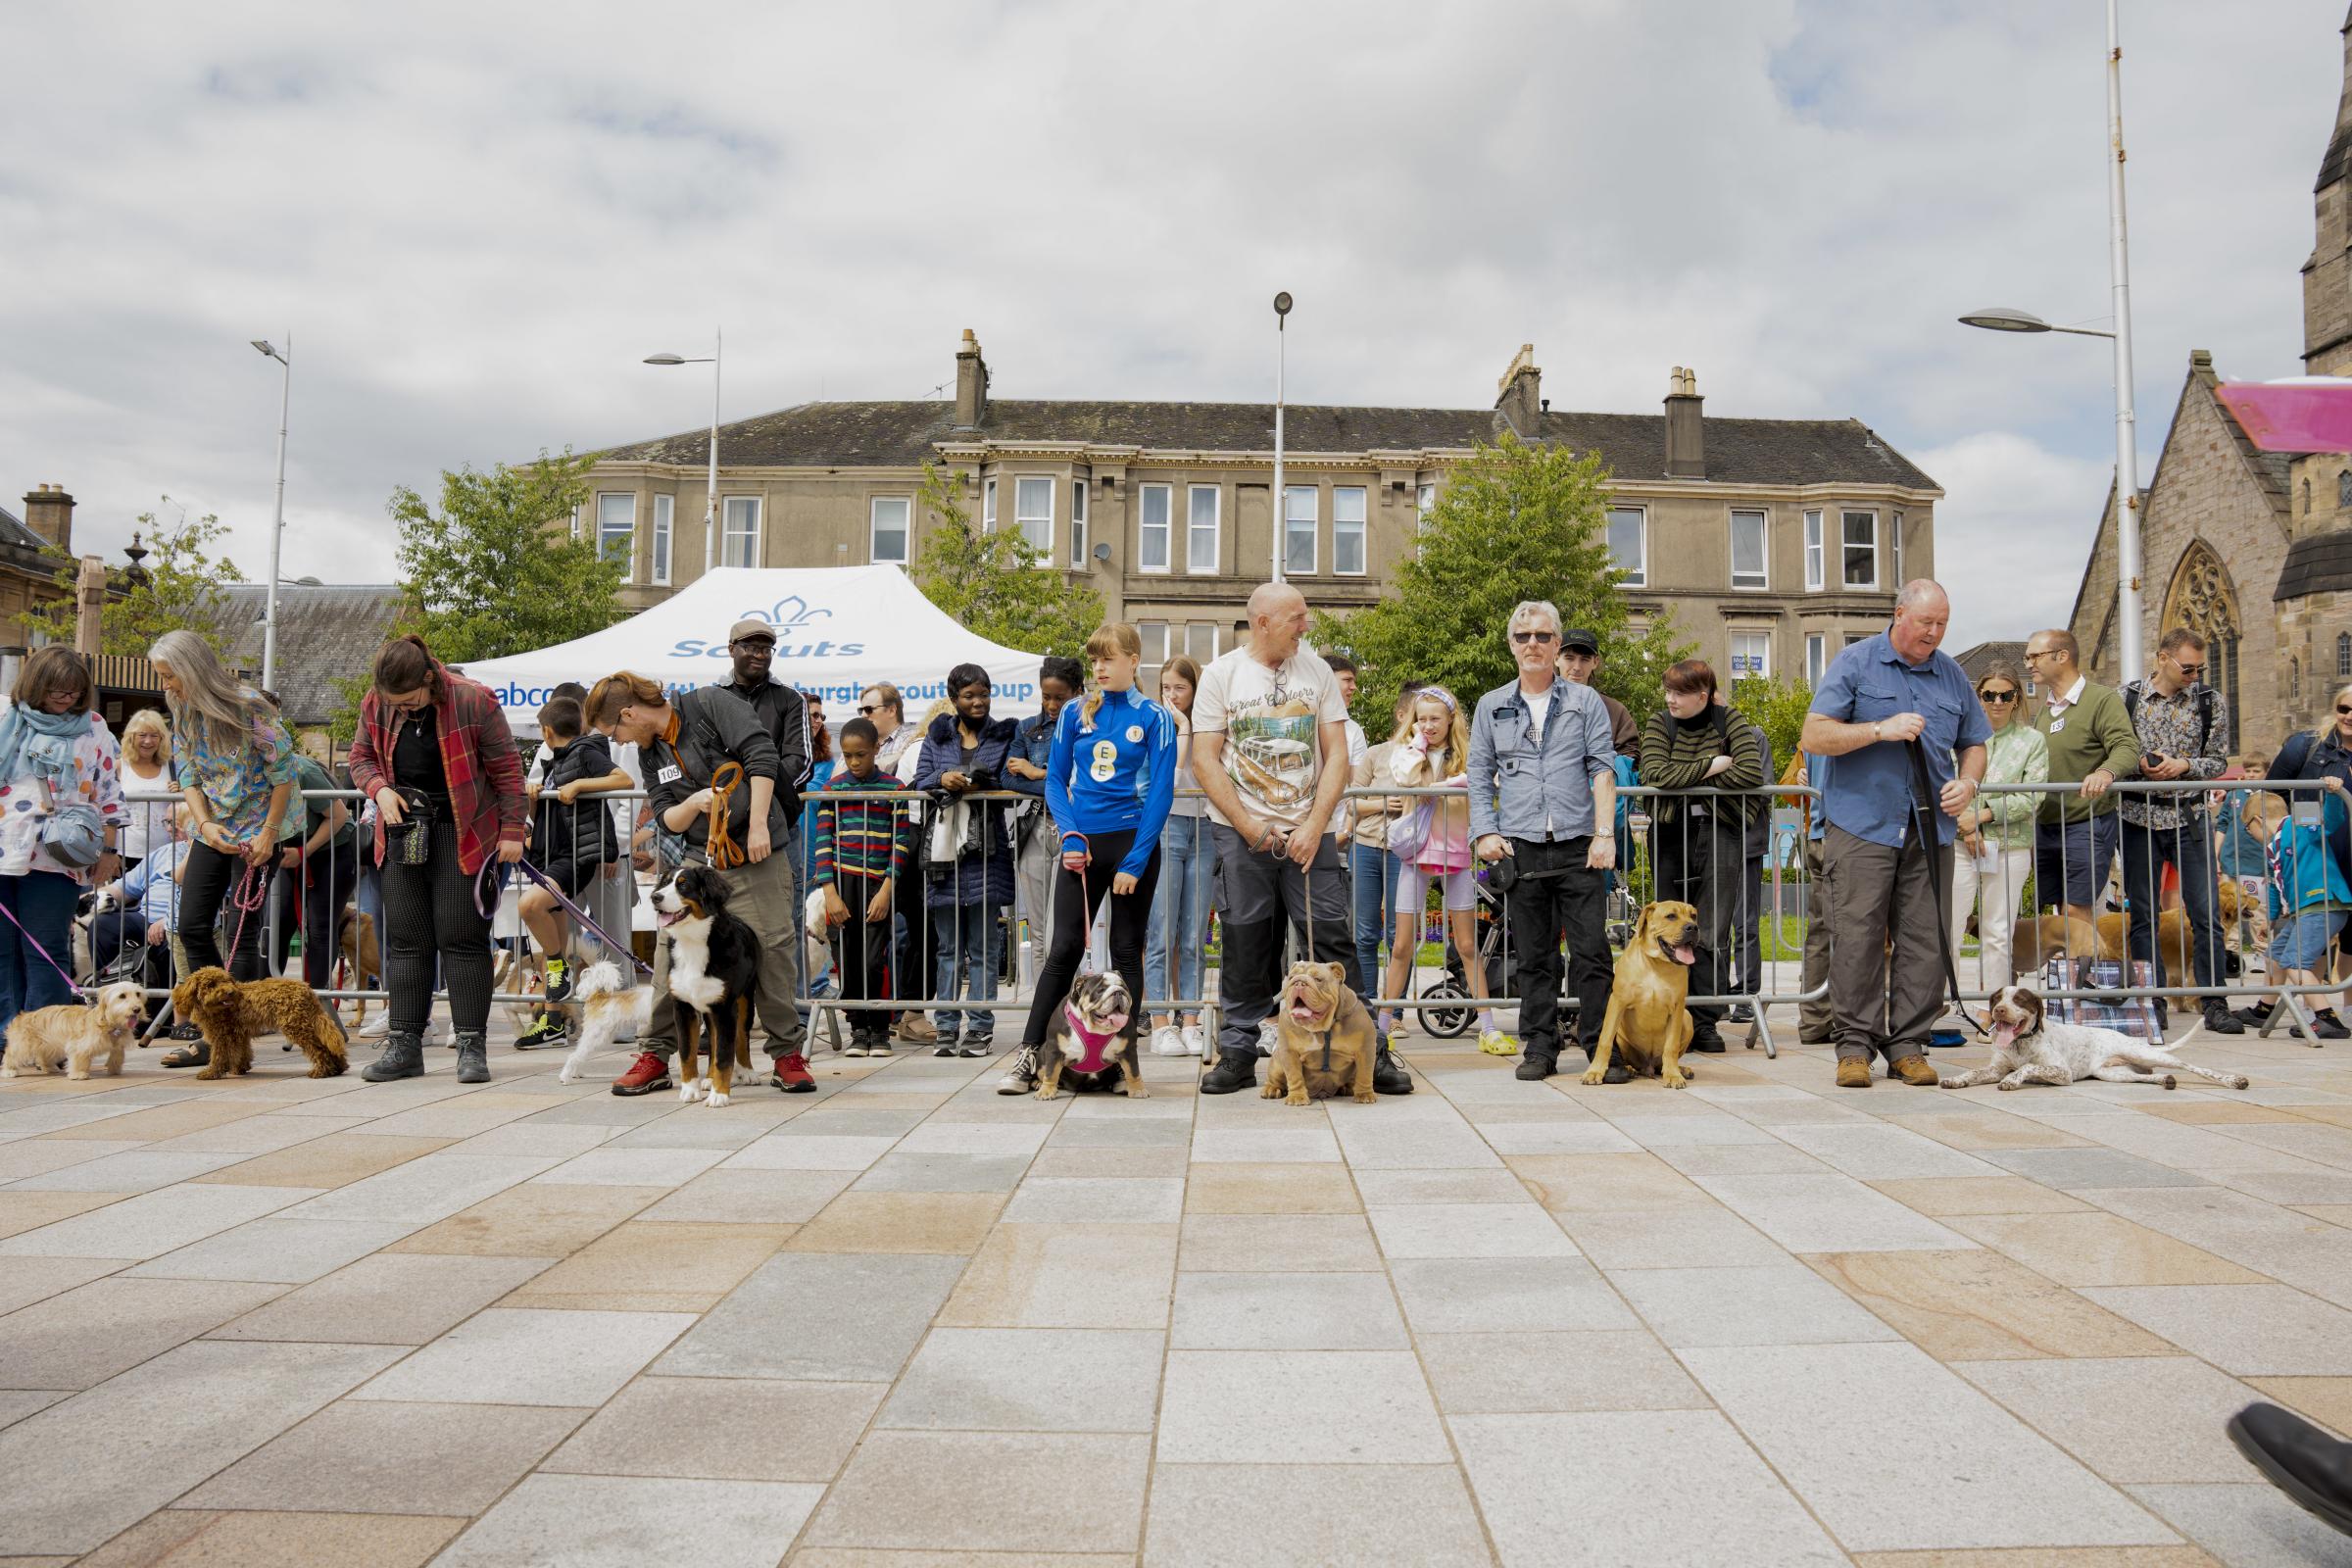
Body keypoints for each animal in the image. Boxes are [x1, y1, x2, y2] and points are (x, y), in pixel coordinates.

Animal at [654, 864, 761, 1109]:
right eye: (664, 883)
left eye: (683, 885)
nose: (655, 897)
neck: (692, 942)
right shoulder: (683, 1007)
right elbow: (688, 1053)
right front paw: (690, 1090)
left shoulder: (726, 1008)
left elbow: (724, 1054)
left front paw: (719, 1095)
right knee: (712, 1041)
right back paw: (709, 1079)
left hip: (745, 999)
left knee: (742, 1037)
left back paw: (747, 1072)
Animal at [1590, 906, 1702, 1091]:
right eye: (1671, 916)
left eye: (1693, 916)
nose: (1692, 927)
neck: (1656, 963)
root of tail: (1648, 1067)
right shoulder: (1617, 1002)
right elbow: (1605, 1040)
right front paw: (1594, 1072)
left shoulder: (1678, 1007)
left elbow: (1671, 1046)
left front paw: (1673, 1076)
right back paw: (1628, 1068)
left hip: (1687, 1018)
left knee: (1663, 1062)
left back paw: (1680, 1069)